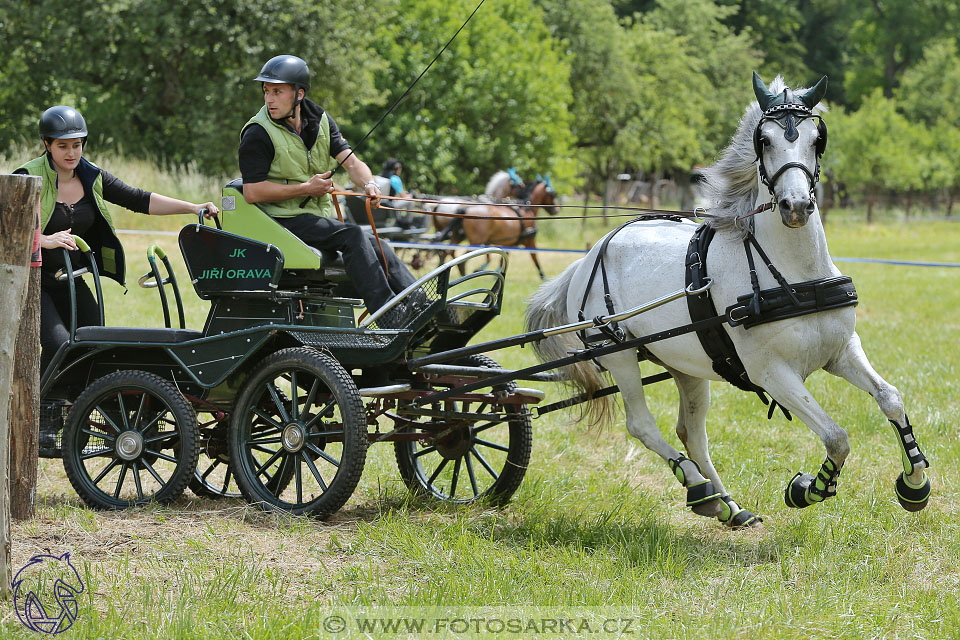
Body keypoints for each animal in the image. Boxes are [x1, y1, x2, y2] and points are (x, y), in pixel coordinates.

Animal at [432, 175, 560, 278]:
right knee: (461, 260)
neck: (526, 208)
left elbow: (500, 258)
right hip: (476, 241)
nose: (556, 210)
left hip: (457, 237)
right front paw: (543, 277)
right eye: (553, 194)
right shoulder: (529, 240)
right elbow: (535, 258)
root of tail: (466, 209)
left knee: (447, 252)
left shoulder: (508, 243)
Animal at [524, 75, 928, 528]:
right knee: (642, 425)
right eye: (764, 140)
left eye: (817, 139)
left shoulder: (841, 350)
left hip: (685, 365)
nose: (795, 206)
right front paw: (807, 489)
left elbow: (890, 398)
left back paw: (727, 505)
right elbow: (836, 437)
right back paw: (698, 487)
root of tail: (587, 258)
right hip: (619, 355)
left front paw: (915, 483)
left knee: (691, 432)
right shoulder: (772, 373)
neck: (794, 275)